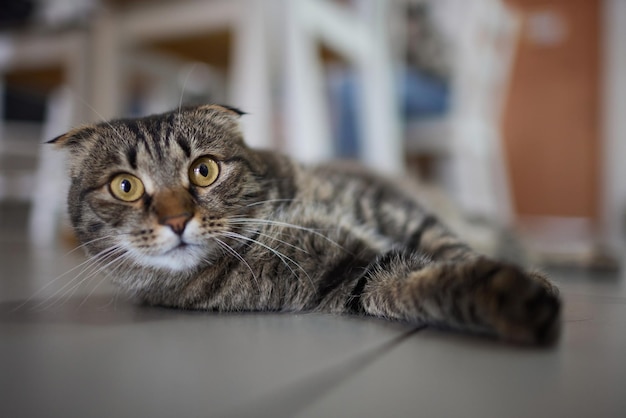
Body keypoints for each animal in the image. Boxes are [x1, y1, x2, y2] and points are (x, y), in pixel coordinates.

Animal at [51, 103, 560, 344]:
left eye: (204, 170)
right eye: (125, 186)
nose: (177, 219)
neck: (272, 219)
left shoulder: (386, 204)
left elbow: (447, 245)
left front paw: (532, 280)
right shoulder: (353, 276)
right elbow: (420, 283)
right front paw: (511, 298)